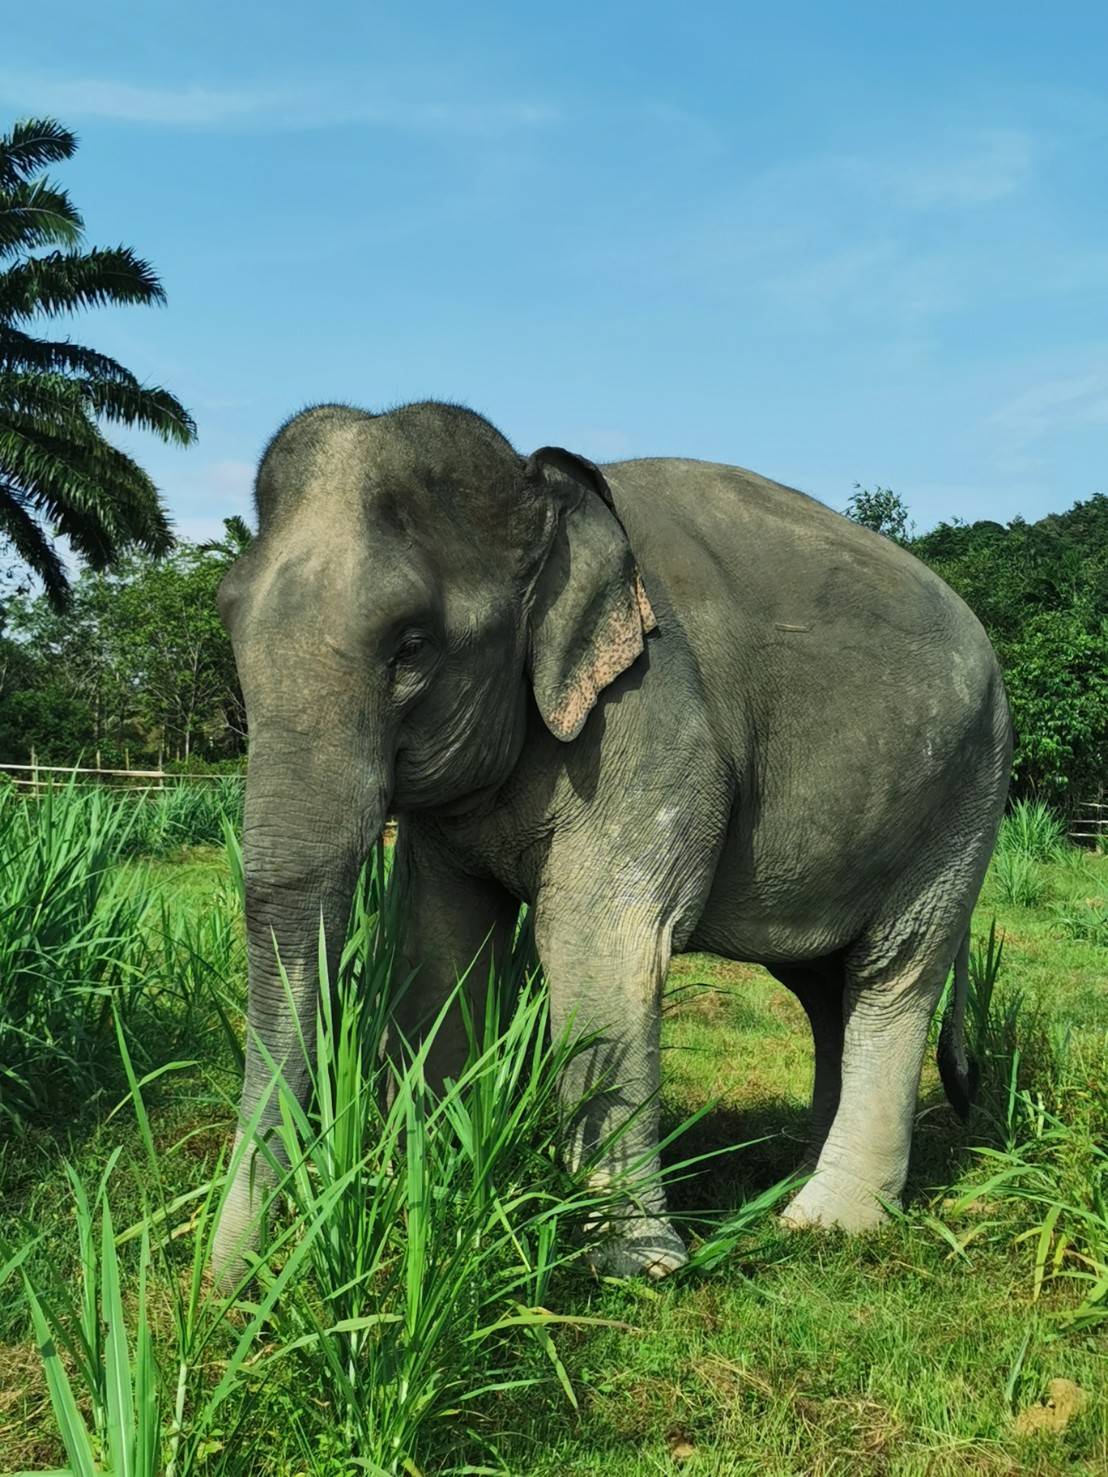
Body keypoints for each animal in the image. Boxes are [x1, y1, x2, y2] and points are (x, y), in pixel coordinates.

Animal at [209, 401, 1016, 1282]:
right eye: (227, 615)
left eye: (412, 645)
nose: (225, 1289)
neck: (543, 490)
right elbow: (440, 942)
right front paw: (433, 1185)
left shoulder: (653, 711)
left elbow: (596, 942)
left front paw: (636, 1266)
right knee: (823, 982)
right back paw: (797, 1184)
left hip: (964, 795)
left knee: (894, 969)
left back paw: (829, 1223)